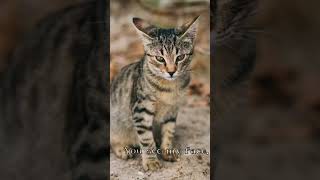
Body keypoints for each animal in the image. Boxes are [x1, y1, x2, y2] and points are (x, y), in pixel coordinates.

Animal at [111, 16, 199, 170]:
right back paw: (122, 148)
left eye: (180, 57)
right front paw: (151, 161)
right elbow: (146, 139)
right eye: (160, 58)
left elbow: (169, 131)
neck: (169, 88)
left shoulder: (172, 110)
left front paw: (167, 151)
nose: (171, 71)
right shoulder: (141, 110)